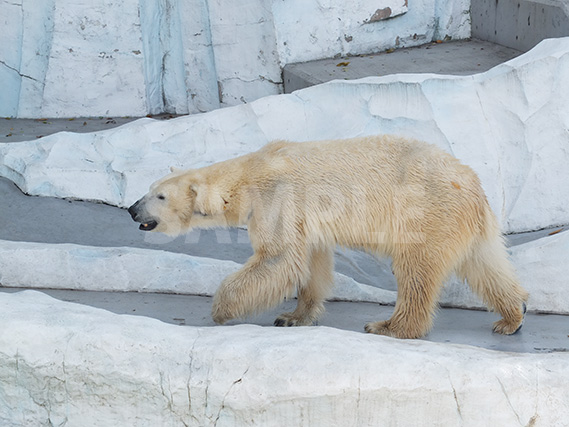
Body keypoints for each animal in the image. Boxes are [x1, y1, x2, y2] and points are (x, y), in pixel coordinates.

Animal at [129, 135, 528, 340]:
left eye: (158, 196)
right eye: (148, 189)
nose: (132, 209)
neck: (247, 175)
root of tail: (471, 184)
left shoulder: (277, 197)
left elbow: (277, 257)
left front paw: (221, 309)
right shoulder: (306, 220)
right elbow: (312, 262)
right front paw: (292, 316)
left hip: (424, 210)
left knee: (416, 268)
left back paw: (389, 326)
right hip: (464, 220)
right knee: (486, 264)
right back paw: (512, 316)